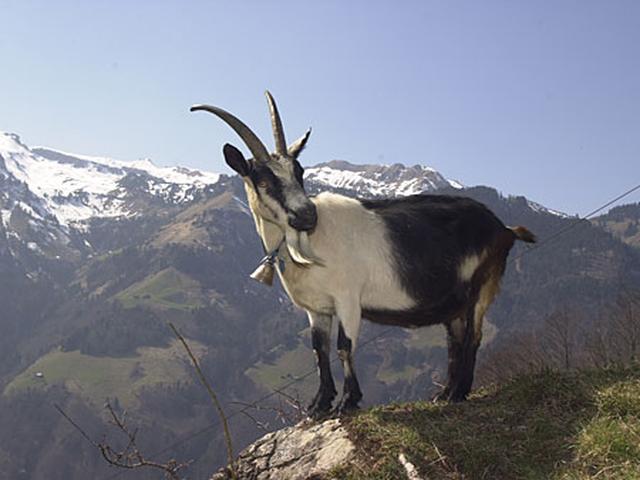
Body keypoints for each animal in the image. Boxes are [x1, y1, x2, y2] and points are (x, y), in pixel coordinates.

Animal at [191, 92, 536, 417]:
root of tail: (503, 228)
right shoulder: (317, 309)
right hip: (453, 301)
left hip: (484, 282)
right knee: (456, 340)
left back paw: (459, 393)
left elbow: (344, 347)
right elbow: (319, 350)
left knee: (474, 337)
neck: (310, 243)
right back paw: (445, 394)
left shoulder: (348, 298)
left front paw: (348, 401)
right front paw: (319, 405)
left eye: (299, 171)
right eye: (263, 179)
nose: (307, 215)